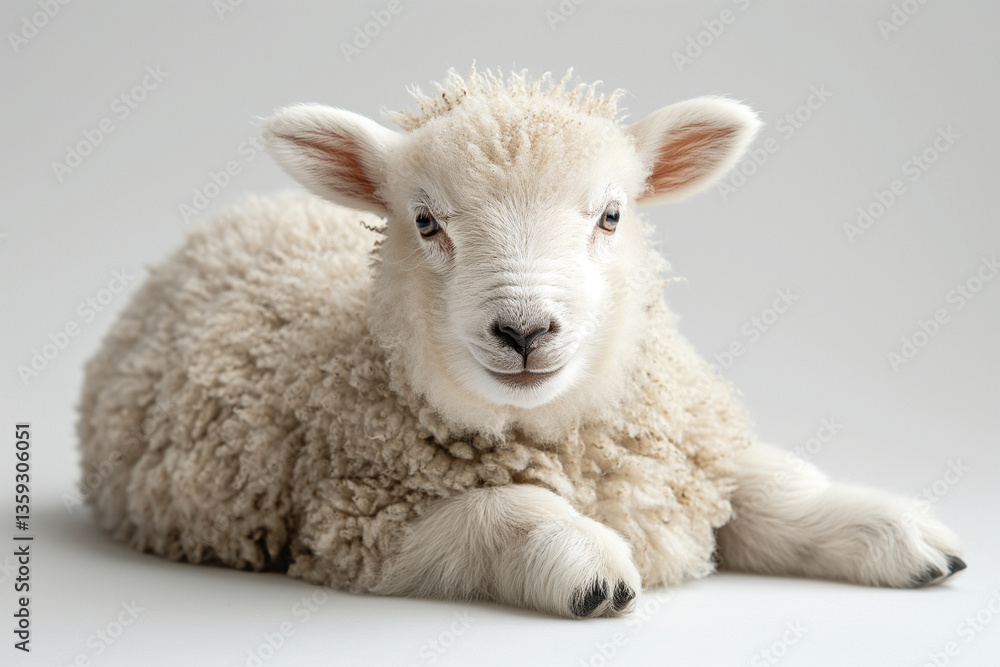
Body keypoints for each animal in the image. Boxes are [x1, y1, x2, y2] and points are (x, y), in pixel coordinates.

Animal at [77, 68, 965, 618]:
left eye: (612, 214)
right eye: (425, 221)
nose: (525, 329)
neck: (562, 435)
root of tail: (234, 214)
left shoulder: (677, 447)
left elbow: (770, 481)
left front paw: (895, 530)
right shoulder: (355, 522)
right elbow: (500, 507)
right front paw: (587, 561)